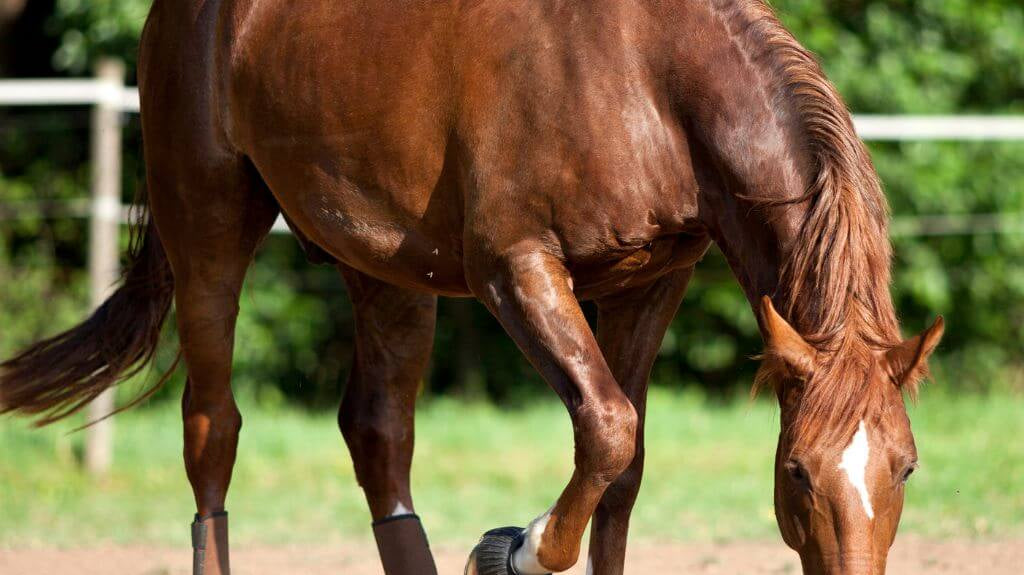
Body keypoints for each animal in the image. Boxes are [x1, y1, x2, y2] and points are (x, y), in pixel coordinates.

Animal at [0, 0, 944, 574]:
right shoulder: (514, 267)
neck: (647, 73)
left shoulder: (651, 282)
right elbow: (607, 429)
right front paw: (511, 546)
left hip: (383, 267)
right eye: (796, 471)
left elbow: (625, 468)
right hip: (209, 230)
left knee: (379, 436)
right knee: (212, 431)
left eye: (907, 466)